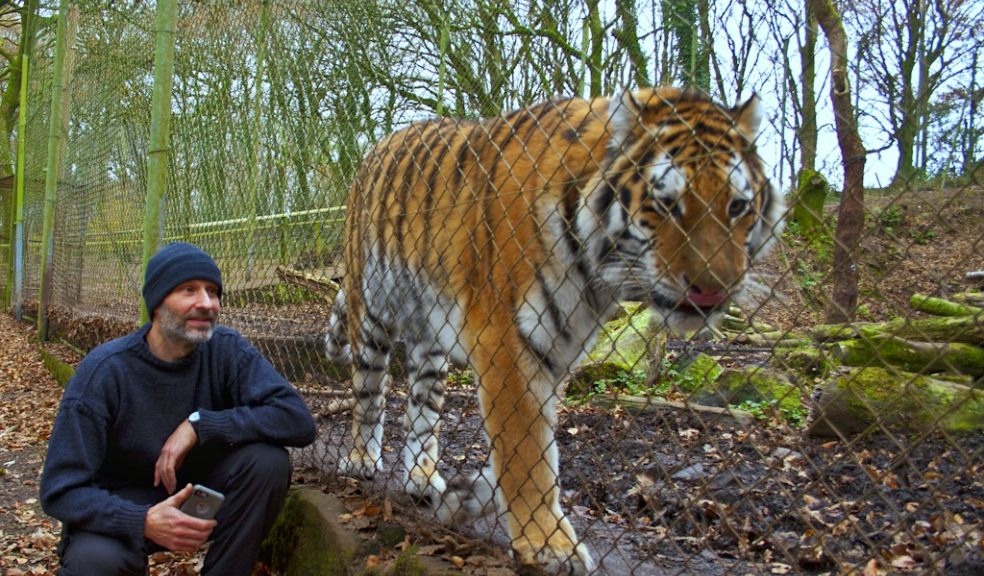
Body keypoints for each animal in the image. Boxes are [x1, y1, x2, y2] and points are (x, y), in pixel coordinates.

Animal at [324, 86, 784, 576]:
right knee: (369, 397)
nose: (713, 290)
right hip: (370, 314)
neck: (597, 271)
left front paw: (467, 498)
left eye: (737, 206)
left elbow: (535, 450)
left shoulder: (559, 347)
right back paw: (360, 459)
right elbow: (524, 448)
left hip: (430, 345)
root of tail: (375, 149)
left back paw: (422, 477)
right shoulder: (505, 340)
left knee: (422, 413)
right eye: (666, 203)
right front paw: (549, 544)